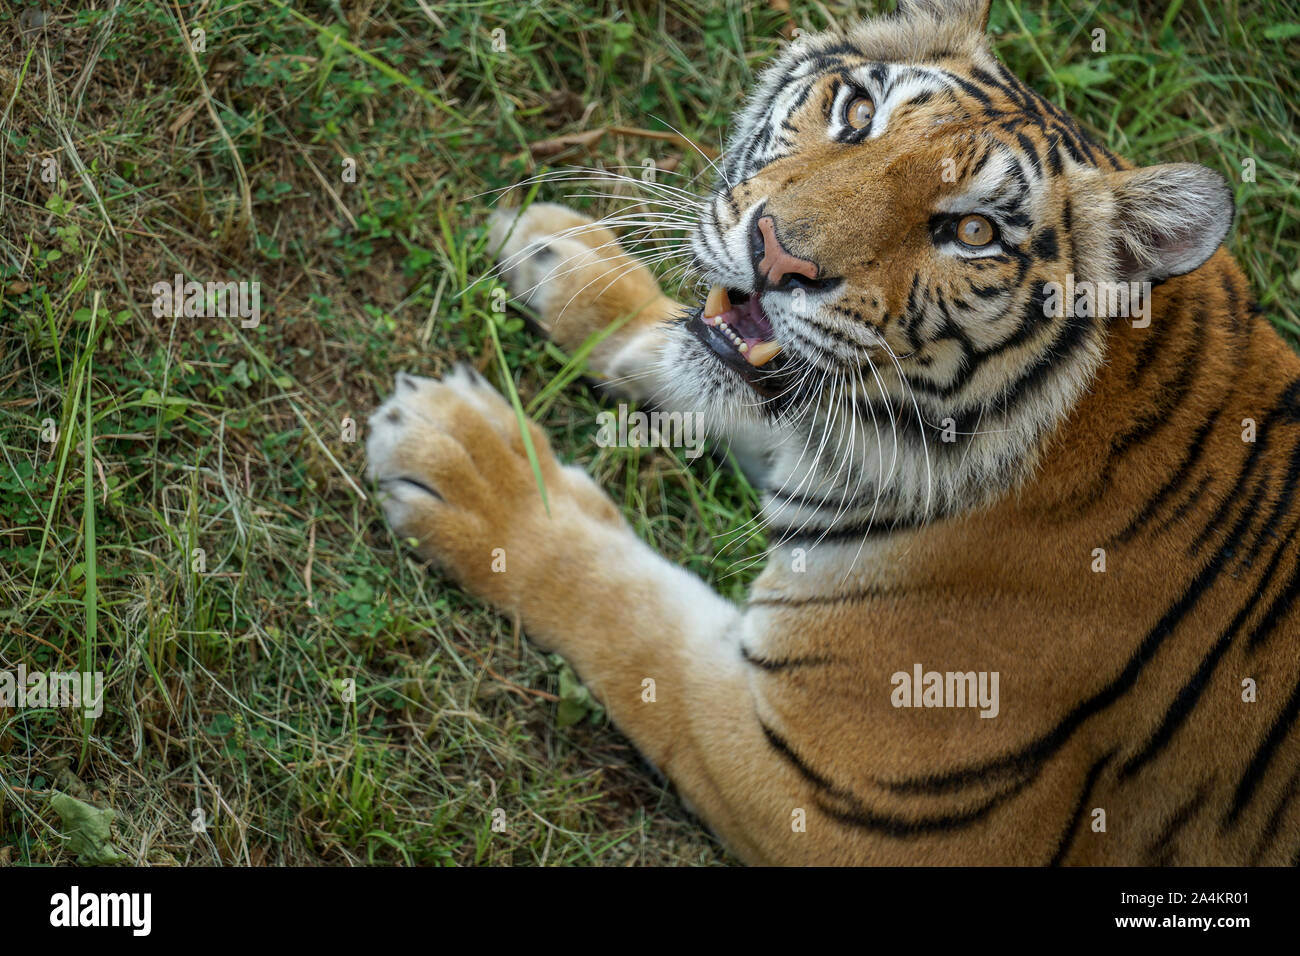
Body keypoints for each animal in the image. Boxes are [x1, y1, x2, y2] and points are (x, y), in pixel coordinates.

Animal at [364, 0, 1300, 868]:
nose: (777, 256)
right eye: (857, 113)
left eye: (973, 232)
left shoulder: (841, 802)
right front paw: (566, 258)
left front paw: (471, 467)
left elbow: (628, 612)